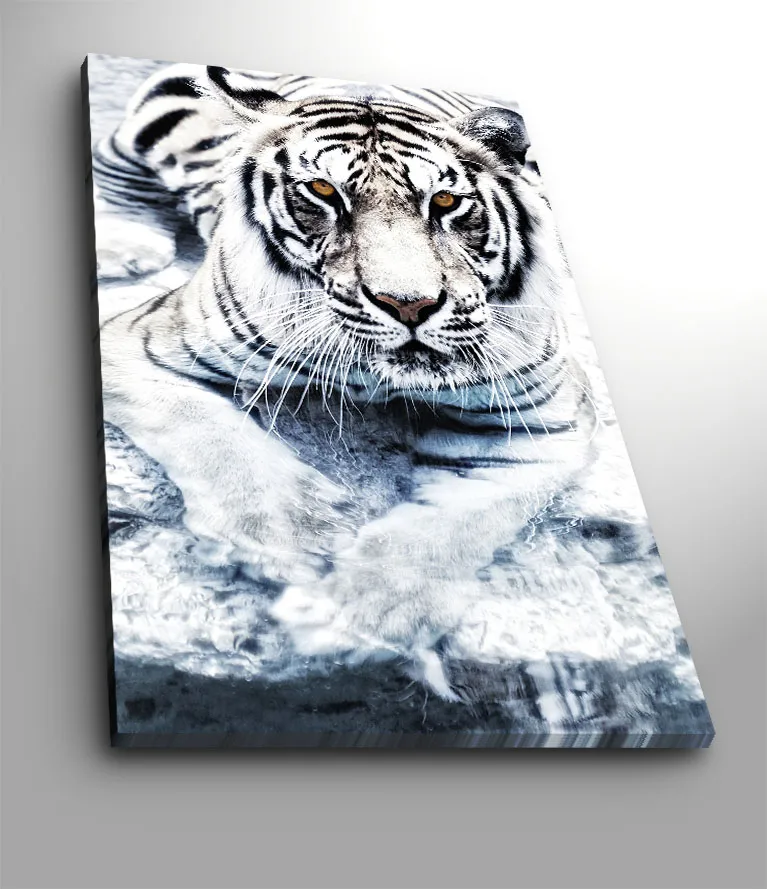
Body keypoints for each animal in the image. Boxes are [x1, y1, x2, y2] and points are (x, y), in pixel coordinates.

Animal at [92, 63, 595, 699]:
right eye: (324, 192)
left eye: (446, 201)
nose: (408, 305)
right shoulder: (140, 343)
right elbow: (213, 436)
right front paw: (288, 538)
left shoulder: (543, 428)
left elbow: (452, 528)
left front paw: (358, 617)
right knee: (112, 159)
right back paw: (125, 245)